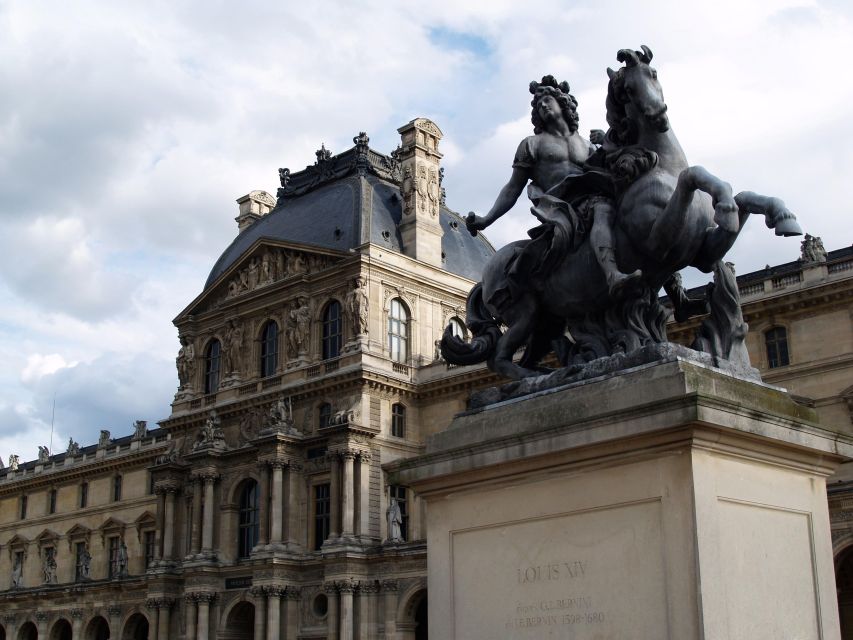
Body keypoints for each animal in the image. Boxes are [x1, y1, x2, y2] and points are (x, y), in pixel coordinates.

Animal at [442, 46, 804, 380]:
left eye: (654, 74)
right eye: (627, 89)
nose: (658, 115)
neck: (660, 166)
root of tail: (487, 271)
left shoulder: (701, 251)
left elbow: (738, 195)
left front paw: (782, 216)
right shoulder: (659, 240)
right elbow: (695, 176)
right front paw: (728, 209)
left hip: (547, 320)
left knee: (531, 351)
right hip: (524, 310)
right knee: (499, 358)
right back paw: (536, 378)